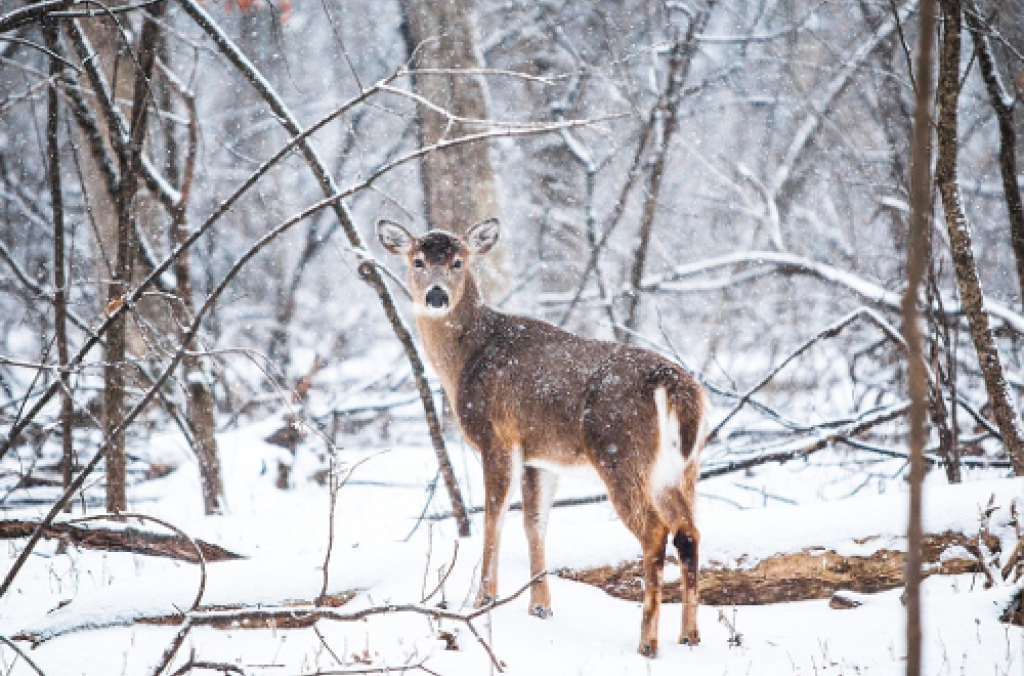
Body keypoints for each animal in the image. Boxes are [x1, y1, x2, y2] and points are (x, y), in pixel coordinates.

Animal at [376, 216, 704, 655]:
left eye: (459, 261)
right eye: (418, 260)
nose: (436, 295)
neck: (465, 359)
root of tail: (677, 388)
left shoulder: (496, 436)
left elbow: (494, 516)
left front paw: (485, 598)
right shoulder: (540, 455)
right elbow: (535, 524)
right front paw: (541, 606)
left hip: (621, 454)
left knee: (655, 532)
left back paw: (647, 642)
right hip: (682, 467)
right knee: (688, 532)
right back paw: (690, 635)